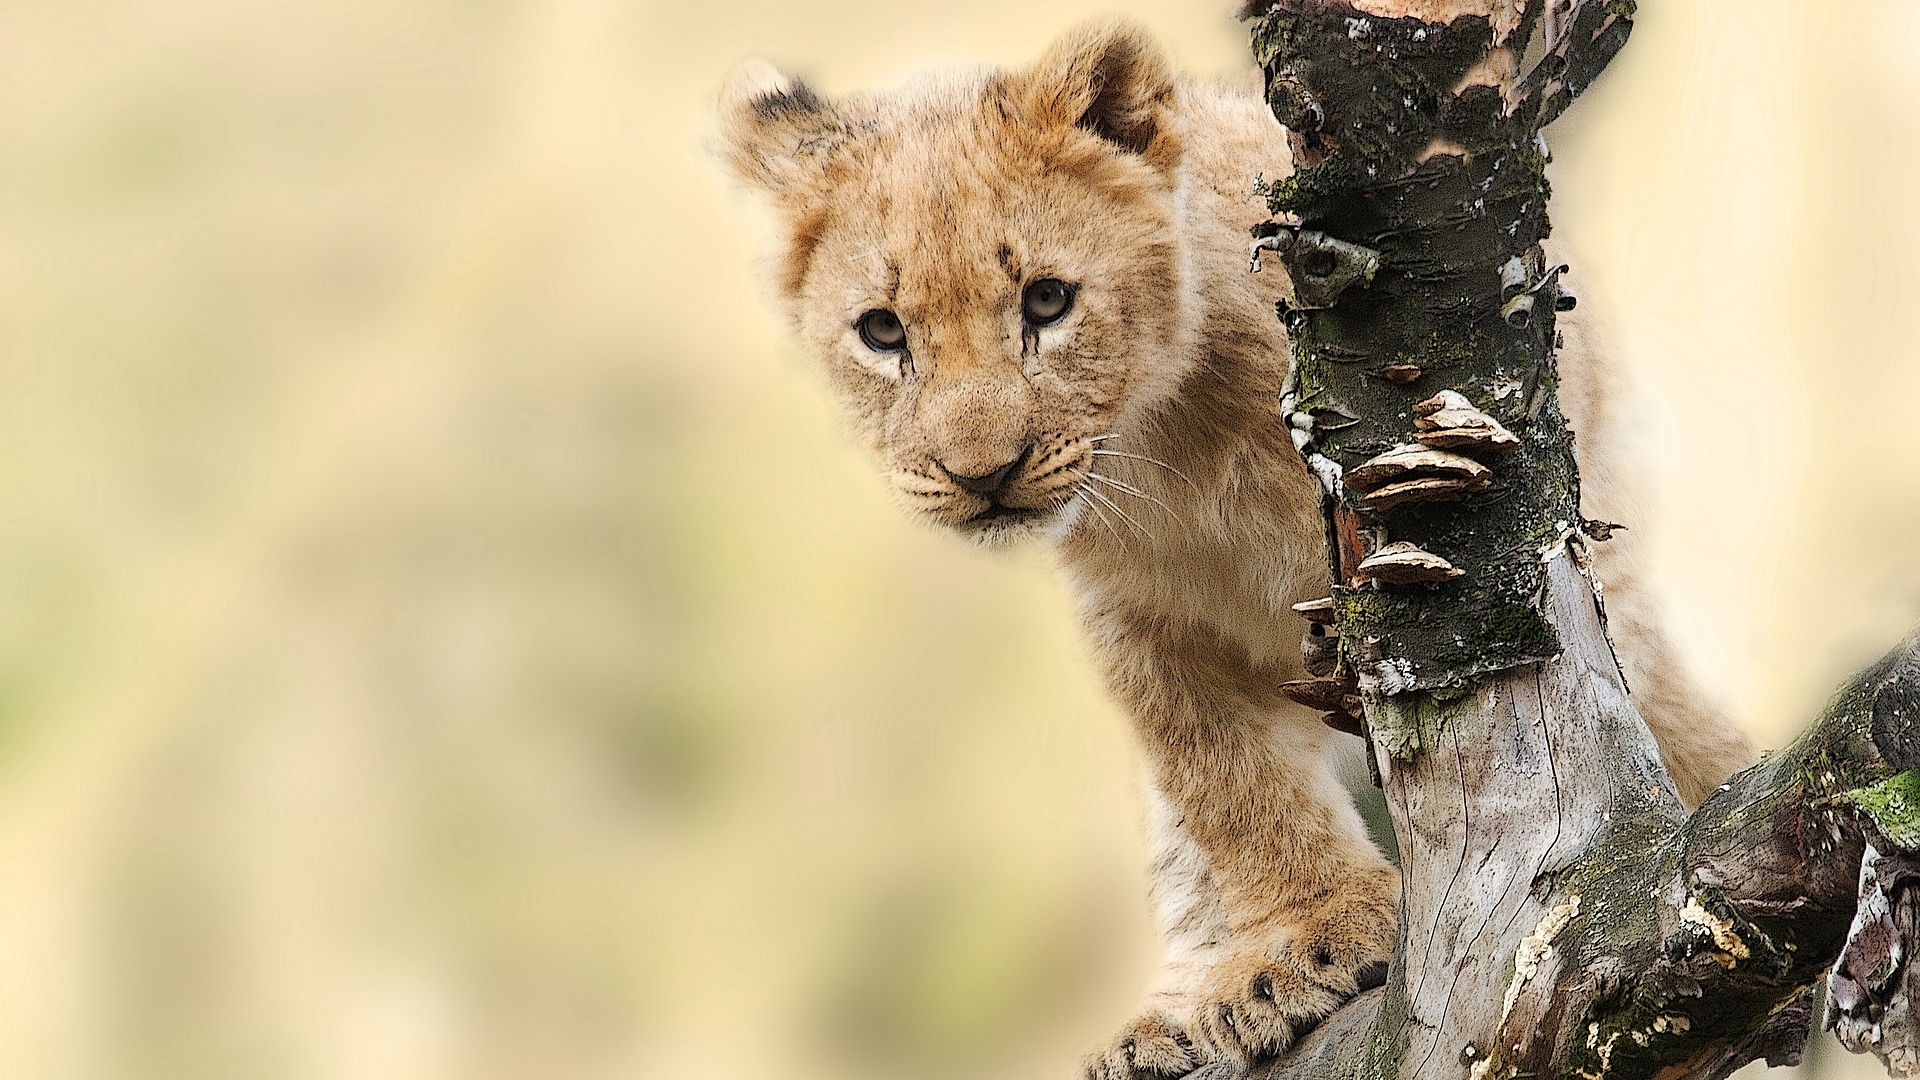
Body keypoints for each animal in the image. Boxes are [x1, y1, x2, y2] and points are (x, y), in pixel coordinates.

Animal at [714, 20, 1757, 1078]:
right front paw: (1301, 942)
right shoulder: (1137, 621)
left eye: (1047, 302)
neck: (1164, 448)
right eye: (882, 330)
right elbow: (1223, 781)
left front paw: (1312, 946)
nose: (983, 475)